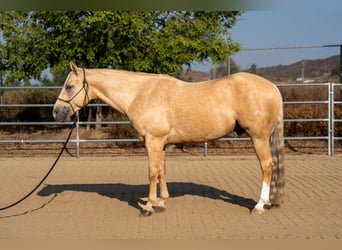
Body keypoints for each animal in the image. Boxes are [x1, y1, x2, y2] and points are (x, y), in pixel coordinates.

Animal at [53, 62, 284, 215]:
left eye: (69, 86)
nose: (56, 112)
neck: (139, 93)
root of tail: (273, 87)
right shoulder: (161, 143)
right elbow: (162, 171)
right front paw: (161, 202)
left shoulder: (153, 141)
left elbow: (152, 172)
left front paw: (148, 206)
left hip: (259, 138)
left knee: (267, 165)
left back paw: (259, 206)